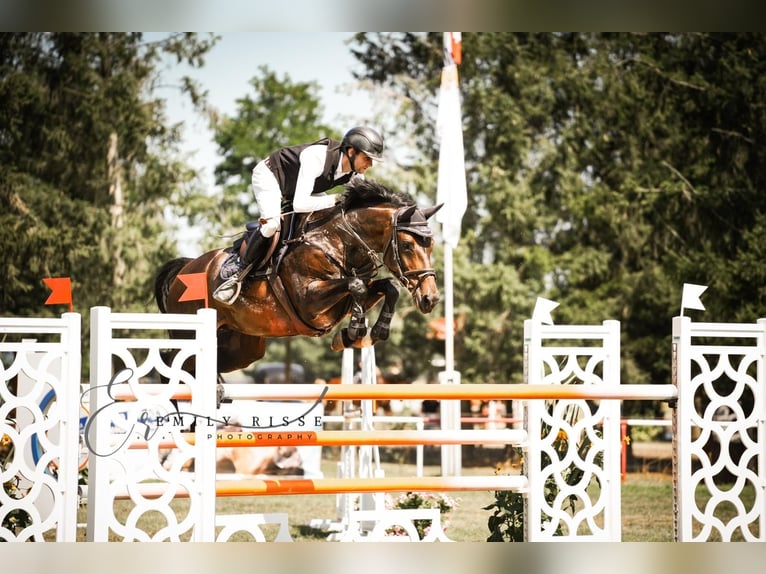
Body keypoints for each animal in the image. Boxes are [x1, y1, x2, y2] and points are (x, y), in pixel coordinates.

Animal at [154, 182, 444, 376]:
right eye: (407, 245)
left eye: (430, 245)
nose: (430, 298)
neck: (336, 241)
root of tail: (184, 269)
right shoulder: (309, 301)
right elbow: (357, 286)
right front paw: (354, 331)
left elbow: (386, 287)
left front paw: (370, 332)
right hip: (190, 331)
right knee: (174, 361)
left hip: (243, 346)